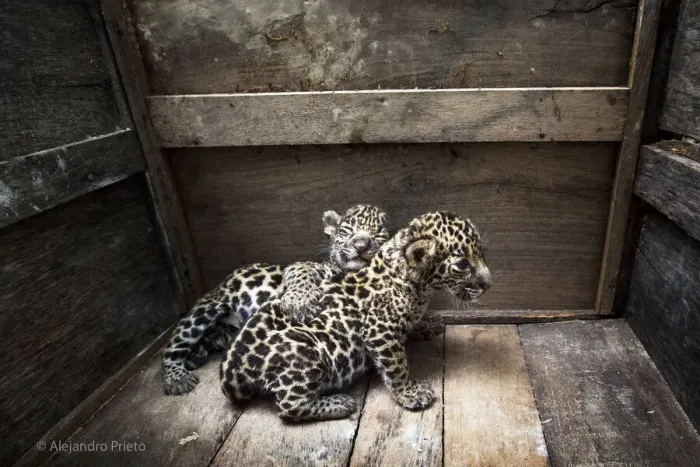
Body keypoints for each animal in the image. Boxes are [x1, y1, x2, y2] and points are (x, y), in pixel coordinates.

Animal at [162, 204, 390, 395]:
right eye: (348, 230)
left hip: (222, 333)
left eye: (378, 234)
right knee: (173, 346)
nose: (361, 245)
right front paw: (299, 304)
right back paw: (176, 378)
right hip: (207, 308)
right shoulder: (301, 266)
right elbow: (302, 272)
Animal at [220, 211, 492, 421]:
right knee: (289, 407)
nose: (489, 284)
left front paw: (428, 324)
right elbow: (397, 366)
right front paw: (409, 393)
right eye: (463, 265)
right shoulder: (379, 330)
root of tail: (232, 371)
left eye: (482, 255)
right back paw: (339, 403)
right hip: (305, 352)